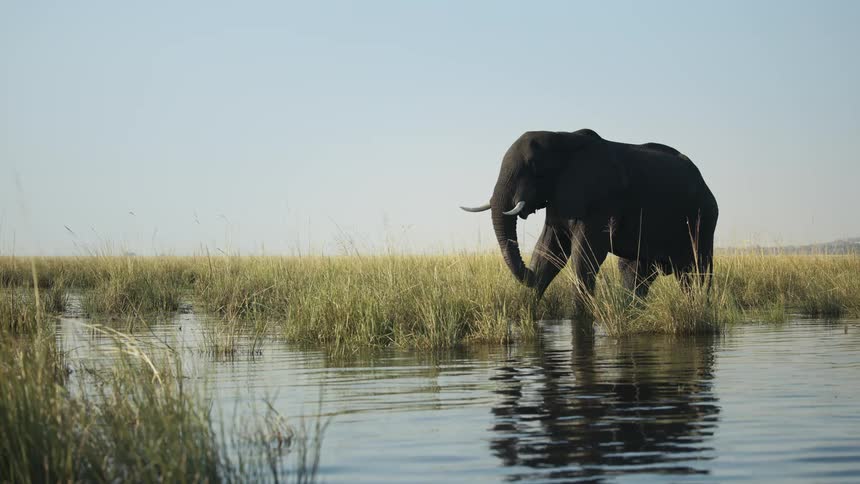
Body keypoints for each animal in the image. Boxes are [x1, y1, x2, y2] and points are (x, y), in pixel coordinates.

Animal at [461, 129, 718, 307]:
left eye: (533, 166)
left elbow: (585, 255)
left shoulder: (599, 198)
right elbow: (549, 251)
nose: (528, 272)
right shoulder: (559, 200)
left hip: (704, 219)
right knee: (635, 274)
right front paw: (528, 308)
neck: (560, 138)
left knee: (695, 272)